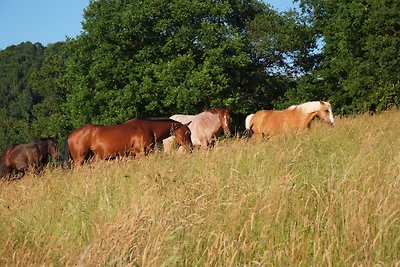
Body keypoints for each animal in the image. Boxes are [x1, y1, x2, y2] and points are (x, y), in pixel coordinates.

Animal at [61, 118, 193, 166]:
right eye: (188, 133)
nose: (191, 148)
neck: (149, 128)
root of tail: (70, 136)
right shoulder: (140, 155)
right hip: (80, 161)